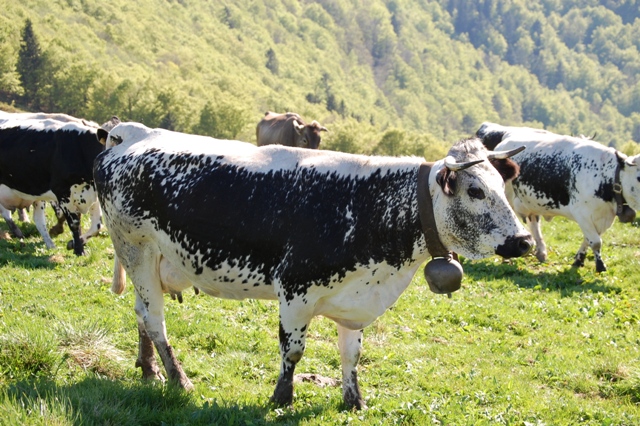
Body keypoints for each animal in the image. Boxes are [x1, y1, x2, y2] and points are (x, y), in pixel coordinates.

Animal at [0, 111, 117, 255]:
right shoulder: (63, 193)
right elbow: (74, 223)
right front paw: (79, 250)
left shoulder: (92, 195)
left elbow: (97, 226)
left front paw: (73, 244)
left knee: (38, 220)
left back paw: (49, 244)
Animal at [95, 120, 532, 410]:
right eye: (475, 191)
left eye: (502, 186)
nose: (524, 240)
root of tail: (128, 132)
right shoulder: (296, 290)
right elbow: (293, 352)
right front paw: (282, 397)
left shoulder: (355, 298)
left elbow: (352, 355)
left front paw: (354, 401)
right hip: (136, 249)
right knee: (154, 319)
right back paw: (178, 378)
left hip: (149, 261)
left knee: (141, 312)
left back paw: (149, 369)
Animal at [476, 121, 640, 272]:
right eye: (639, 177)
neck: (605, 174)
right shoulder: (582, 213)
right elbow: (595, 241)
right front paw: (600, 266)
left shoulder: (602, 217)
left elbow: (589, 239)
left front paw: (579, 260)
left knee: (534, 223)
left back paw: (541, 252)